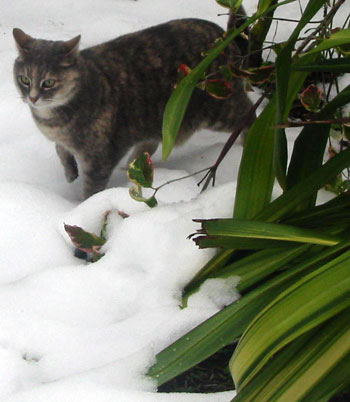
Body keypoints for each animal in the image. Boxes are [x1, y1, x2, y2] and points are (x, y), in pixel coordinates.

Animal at [13, 12, 253, 199]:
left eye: (48, 82)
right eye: (24, 79)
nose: (32, 98)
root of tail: (224, 37)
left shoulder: (99, 159)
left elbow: (91, 190)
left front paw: (81, 206)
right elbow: (60, 150)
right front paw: (70, 172)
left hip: (218, 106)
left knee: (248, 113)